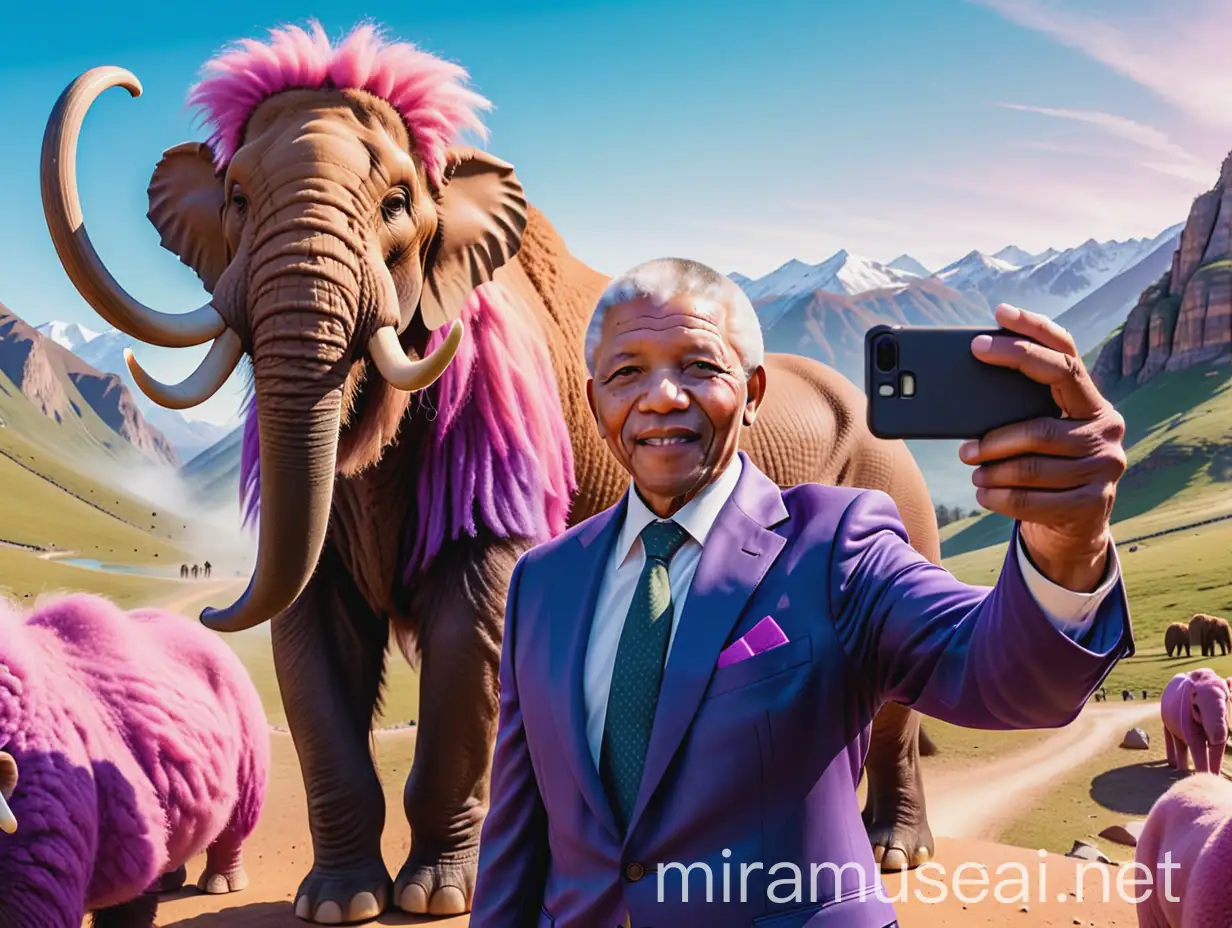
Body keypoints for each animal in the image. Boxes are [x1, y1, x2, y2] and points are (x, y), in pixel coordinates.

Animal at [38, 21, 941, 921]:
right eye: (233, 199)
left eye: (398, 202)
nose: (208, 606)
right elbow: (310, 632)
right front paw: (337, 903)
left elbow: (472, 629)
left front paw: (434, 897)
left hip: (903, 504)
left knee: (897, 702)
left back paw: (893, 852)